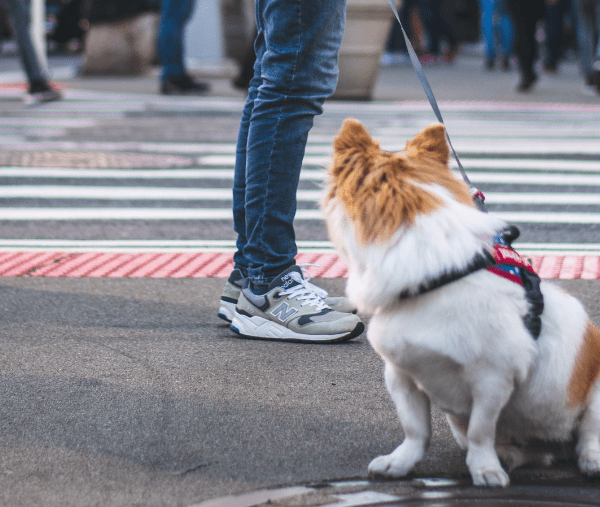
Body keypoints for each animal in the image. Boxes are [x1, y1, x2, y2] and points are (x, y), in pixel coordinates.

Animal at [324, 119, 600, 488]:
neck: (438, 278)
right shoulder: (401, 374)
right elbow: (416, 430)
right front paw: (401, 463)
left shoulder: (493, 379)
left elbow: (482, 431)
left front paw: (485, 469)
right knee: (538, 452)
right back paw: (511, 455)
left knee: (587, 433)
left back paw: (589, 459)